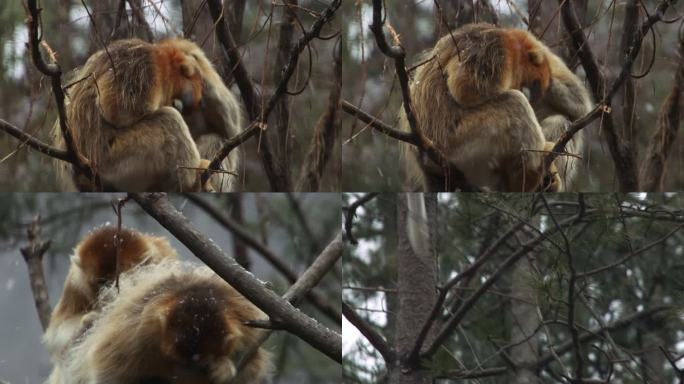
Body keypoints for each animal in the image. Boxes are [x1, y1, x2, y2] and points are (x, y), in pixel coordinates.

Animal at [42, 226, 176, 382]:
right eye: (102, 282)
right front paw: (88, 322)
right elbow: (57, 334)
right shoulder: (74, 280)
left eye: (120, 278)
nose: (108, 292)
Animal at [54, 38, 244, 192]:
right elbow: (115, 109)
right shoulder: (144, 65)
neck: (164, 65)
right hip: (114, 161)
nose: (189, 104)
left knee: (215, 136)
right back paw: (191, 181)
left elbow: (230, 129)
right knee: (169, 119)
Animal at [400, 23, 560, 191]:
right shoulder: (495, 48)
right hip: (458, 144)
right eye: (535, 84)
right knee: (515, 101)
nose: (533, 97)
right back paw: (526, 179)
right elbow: (464, 88)